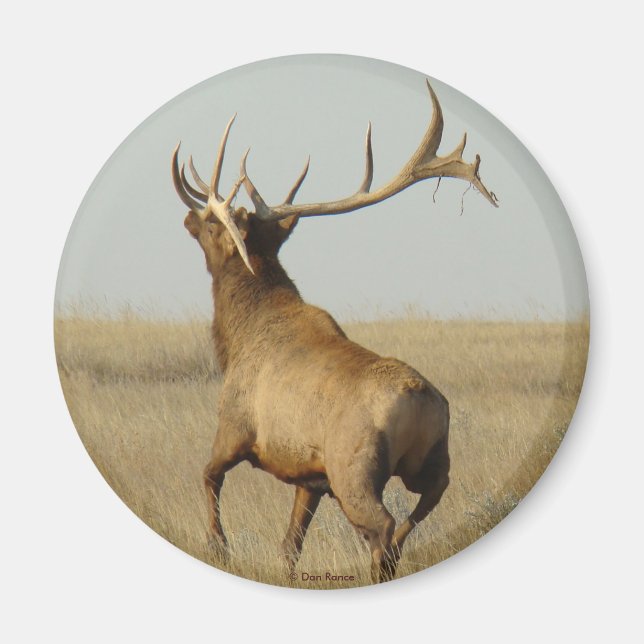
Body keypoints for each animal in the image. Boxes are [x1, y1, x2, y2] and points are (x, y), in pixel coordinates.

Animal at [171, 80, 498, 584]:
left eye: (211, 222)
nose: (188, 216)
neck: (235, 338)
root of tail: (421, 402)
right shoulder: (311, 476)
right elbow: (289, 546)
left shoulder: (235, 426)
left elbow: (208, 477)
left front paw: (220, 548)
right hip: (432, 462)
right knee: (417, 513)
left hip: (354, 468)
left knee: (382, 526)